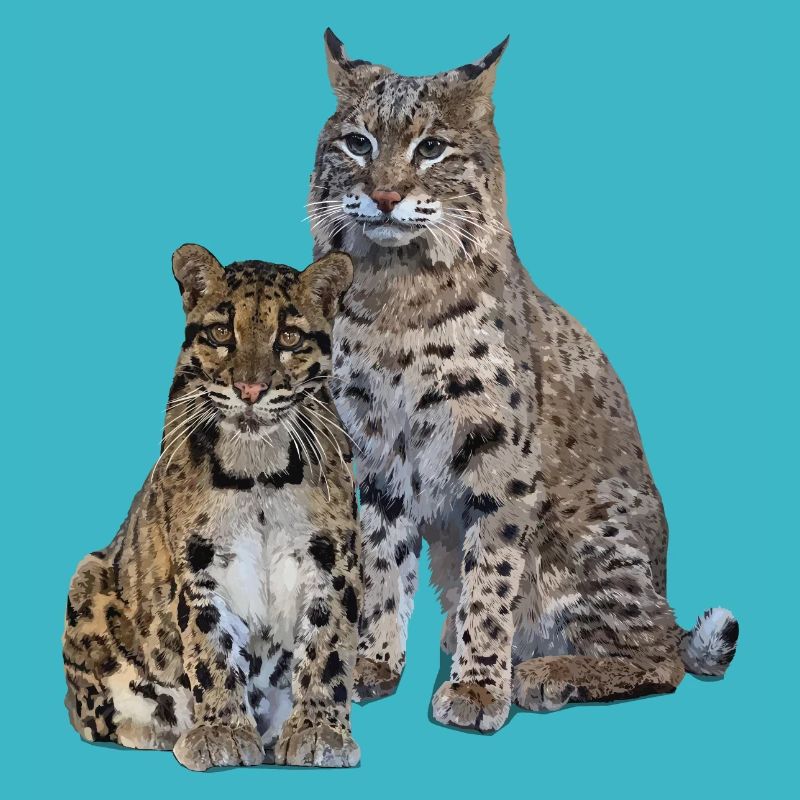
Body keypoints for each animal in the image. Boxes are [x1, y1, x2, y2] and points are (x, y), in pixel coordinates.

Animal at [63, 243, 362, 768]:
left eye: (288, 336)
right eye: (223, 332)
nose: (250, 390)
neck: (259, 471)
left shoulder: (331, 558)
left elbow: (328, 647)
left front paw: (319, 731)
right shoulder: (199, 562)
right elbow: (210, 647)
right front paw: (221, 730)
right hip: (87, 578)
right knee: (94, 715)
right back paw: (159, 729)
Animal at [307, 30, 739, 732]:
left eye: (431, 148)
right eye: (358, 143)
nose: (386, 197)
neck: (396, 291)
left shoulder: (499, 458)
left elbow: (493, 575)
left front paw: (480, 688)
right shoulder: (377, 455)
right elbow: (380, 562)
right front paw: (371, 661)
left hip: (589, 534)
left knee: (664, 656)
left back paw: (547, 672)